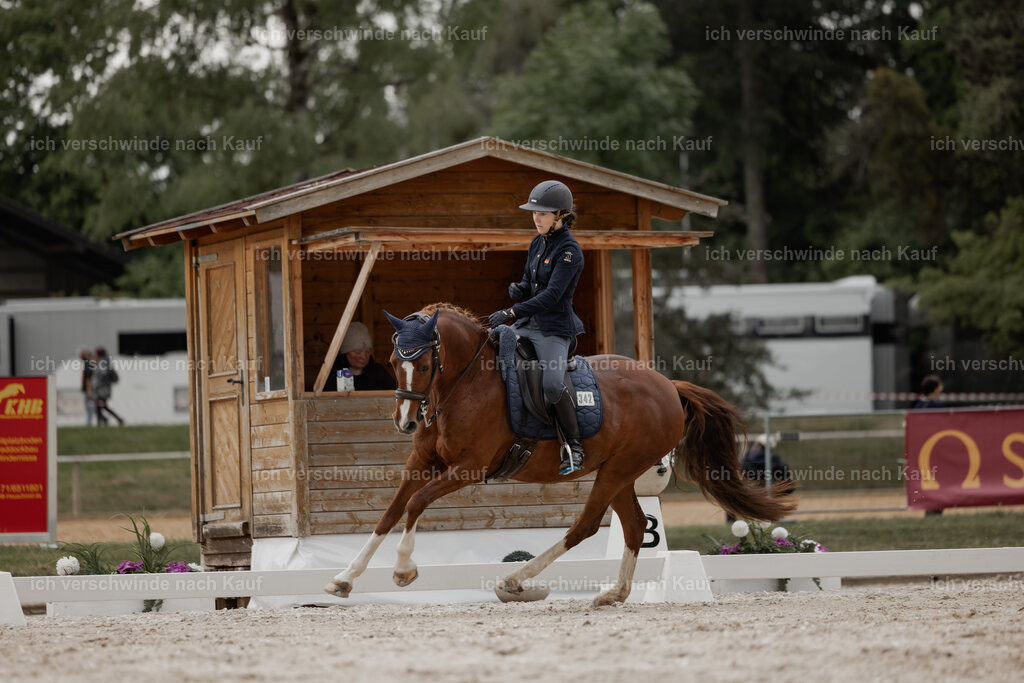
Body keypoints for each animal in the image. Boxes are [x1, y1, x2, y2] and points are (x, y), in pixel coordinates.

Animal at [324, 303, 795, 606]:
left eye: (423, 366)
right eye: (392, 361)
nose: (405, 422)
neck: (463, 384)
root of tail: (667, 385)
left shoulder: (468, 468)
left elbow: (416, 504)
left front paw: (404, 570)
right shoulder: (421, 464)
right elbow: (390, 513)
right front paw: (344, 579)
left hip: (619, 469)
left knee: (586, 526)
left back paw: (516, 581)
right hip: (619, 473)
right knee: (634, 525)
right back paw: (614, 594)